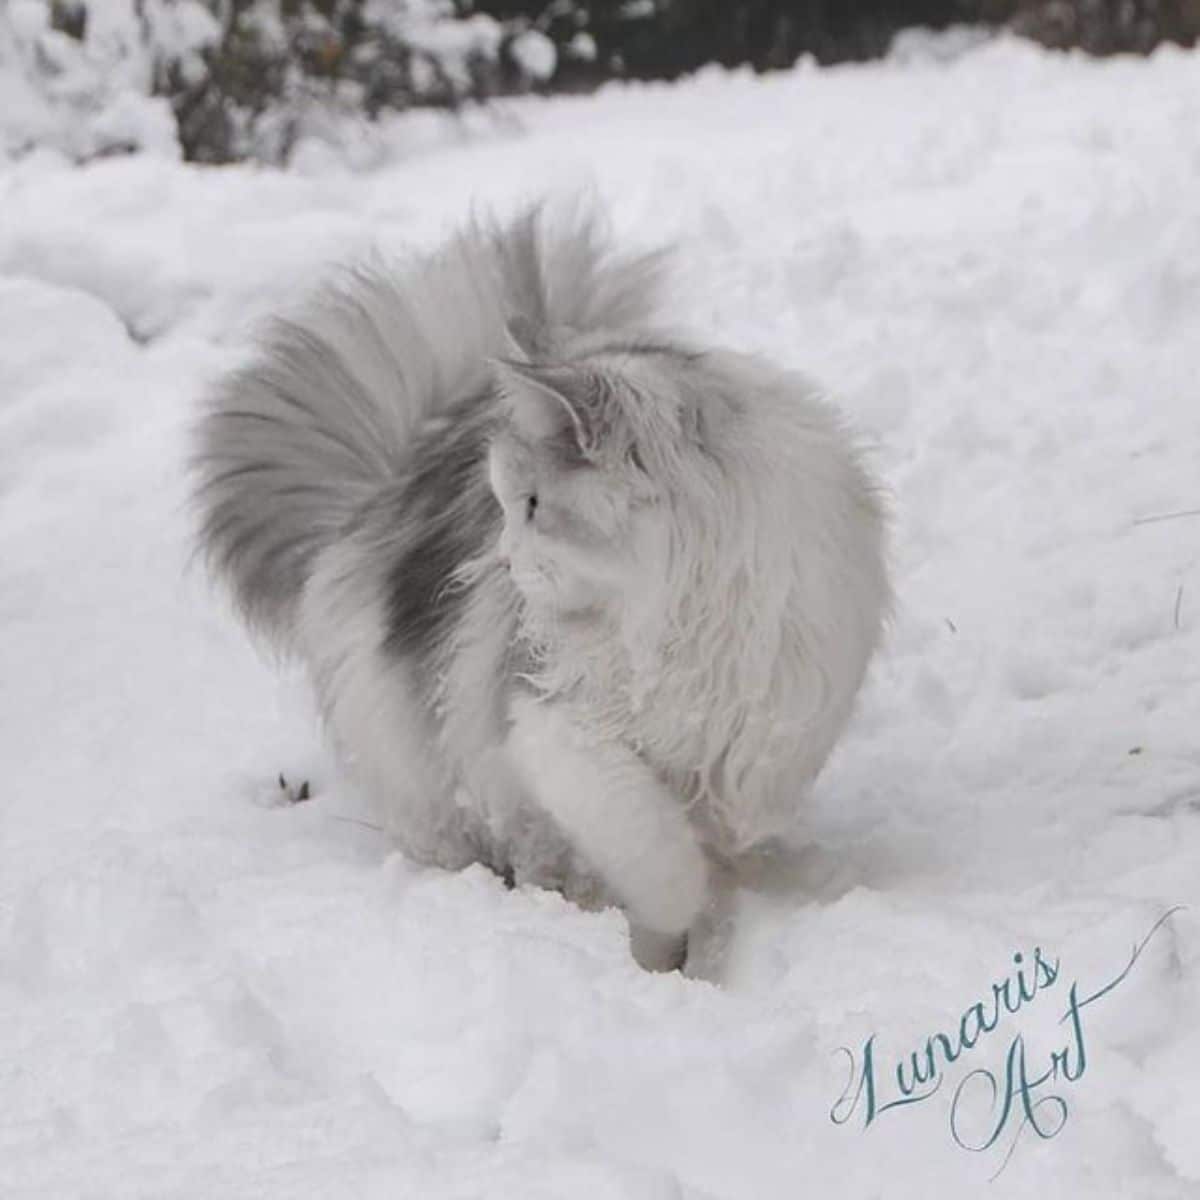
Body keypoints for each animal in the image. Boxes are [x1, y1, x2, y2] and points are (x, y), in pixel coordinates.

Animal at [194, 206, 892, 969]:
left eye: (530, 506)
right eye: (502, 504)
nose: (496, 563)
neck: (674, 606)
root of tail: (390, 478)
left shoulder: (770, 725)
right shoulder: (551, 725)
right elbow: (653, 846)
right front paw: (660, 944)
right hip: (422, 765)